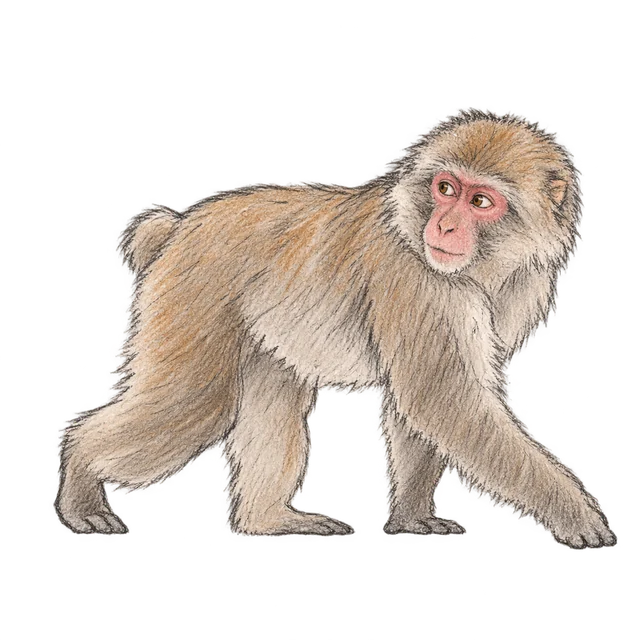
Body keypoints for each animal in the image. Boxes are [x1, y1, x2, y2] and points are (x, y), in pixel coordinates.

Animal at [53, 108, 618, 549]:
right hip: (193, 298)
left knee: (271, 395)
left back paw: (265, 519)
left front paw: (414, 519)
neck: (483, 267)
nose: (444, 226)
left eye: (480, 202)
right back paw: (80, 476)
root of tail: (179, 226)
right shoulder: (418, 279)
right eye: (445, 189)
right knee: (191, 402)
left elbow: (420, 407)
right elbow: (446, 402)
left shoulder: (525, 288)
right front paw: (575, 512)